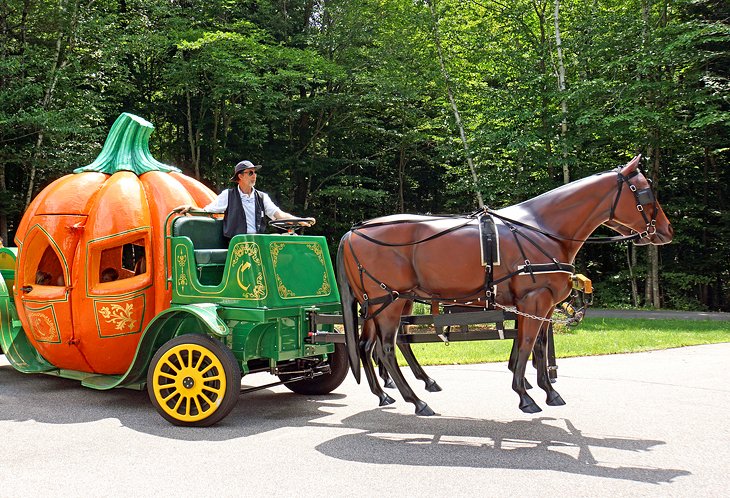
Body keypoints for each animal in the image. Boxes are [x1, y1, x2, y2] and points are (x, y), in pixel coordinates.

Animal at [336, 158, 672, 414]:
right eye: (645, 193)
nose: (667, 230)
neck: (541, 228)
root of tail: (352, 232)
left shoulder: (540, 306)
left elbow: (538, 346)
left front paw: (547, 391)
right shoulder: (534, 300)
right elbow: (526, 345)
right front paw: (524, 395)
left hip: (383, 303)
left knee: (372, 345)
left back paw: (387, 393)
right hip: (388, 301)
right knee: (386, 348)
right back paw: (416, 401)